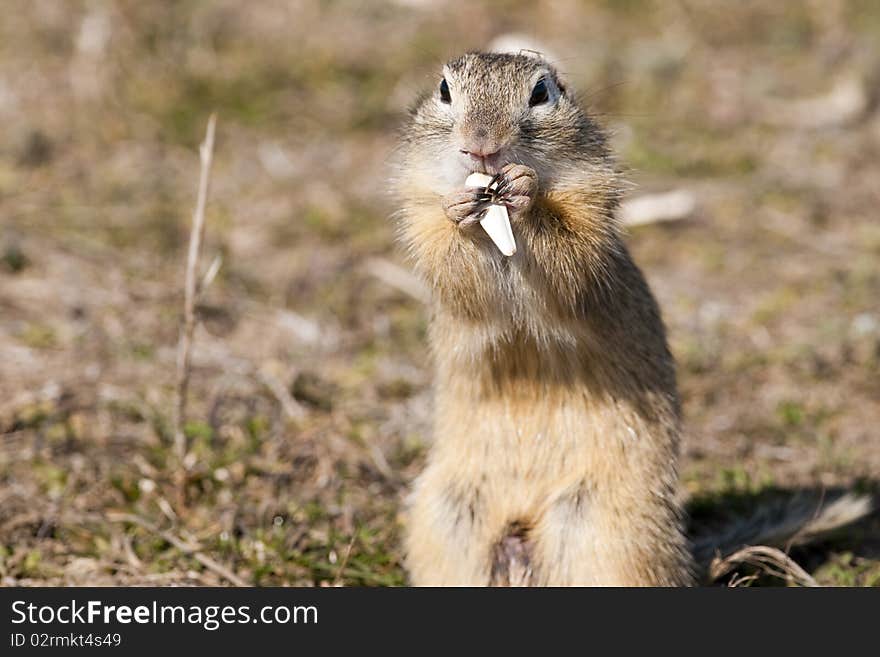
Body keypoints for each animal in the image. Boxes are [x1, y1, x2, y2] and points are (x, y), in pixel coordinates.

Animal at [394, 51, 872, 584]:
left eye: (540, 93)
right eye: (444, 90)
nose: (482, 148)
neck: (499, 232)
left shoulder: (590, 213)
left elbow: (570, 259)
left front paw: (525, 192)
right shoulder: (421, 217)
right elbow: (454, 270)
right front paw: (459, 209)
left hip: (607, 533)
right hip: (446, 519)